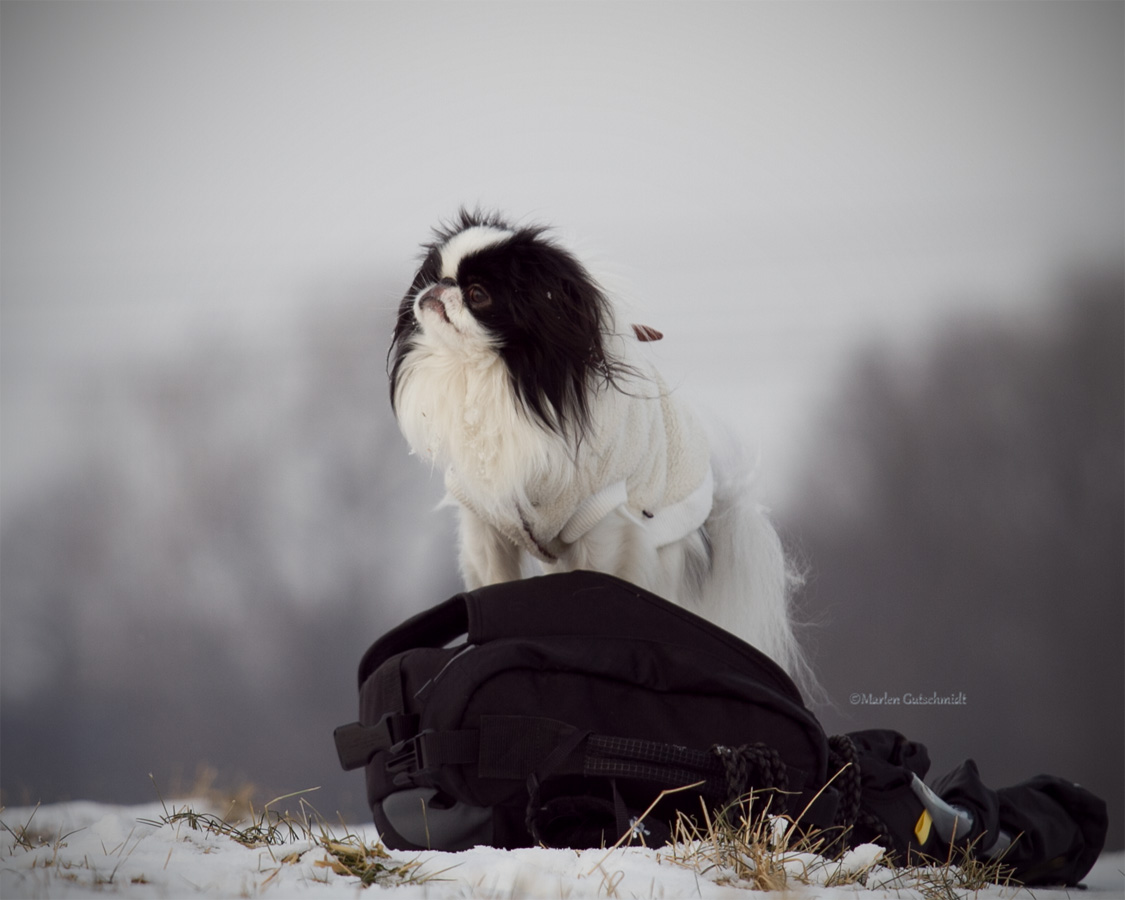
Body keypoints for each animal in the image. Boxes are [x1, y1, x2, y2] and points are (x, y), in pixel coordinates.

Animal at [389, 209, 810, 684]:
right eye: (432, 275)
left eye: (478, 294)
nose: (438, 288)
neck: (490, 377)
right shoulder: (487, 520)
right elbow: (495, 586)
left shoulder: (602, 522)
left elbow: (596, 588)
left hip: (660, 554)